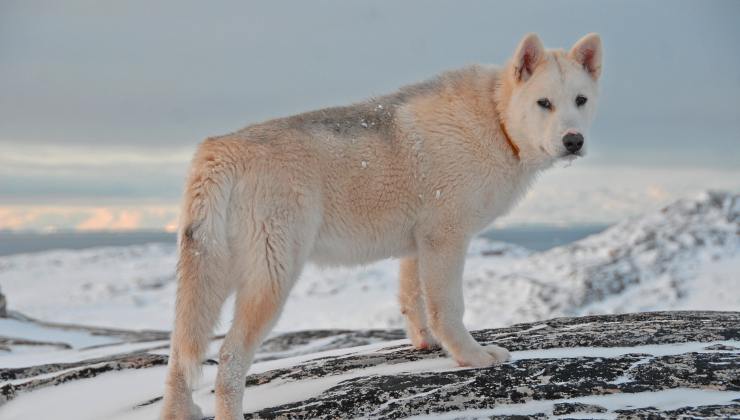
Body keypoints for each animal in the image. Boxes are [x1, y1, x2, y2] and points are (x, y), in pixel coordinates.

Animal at [160, 33, 600, 420]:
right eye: (544, 103)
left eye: (581, 100)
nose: (574, 140)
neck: (494, 121)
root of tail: (220, 150)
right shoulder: (447, 239)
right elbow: (448, 309)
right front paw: (471, 357)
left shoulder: (418, 245)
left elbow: (414, 302)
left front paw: (425, 344)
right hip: (271, 279)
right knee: (229, 357)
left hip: (210, 279)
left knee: (179, 356)